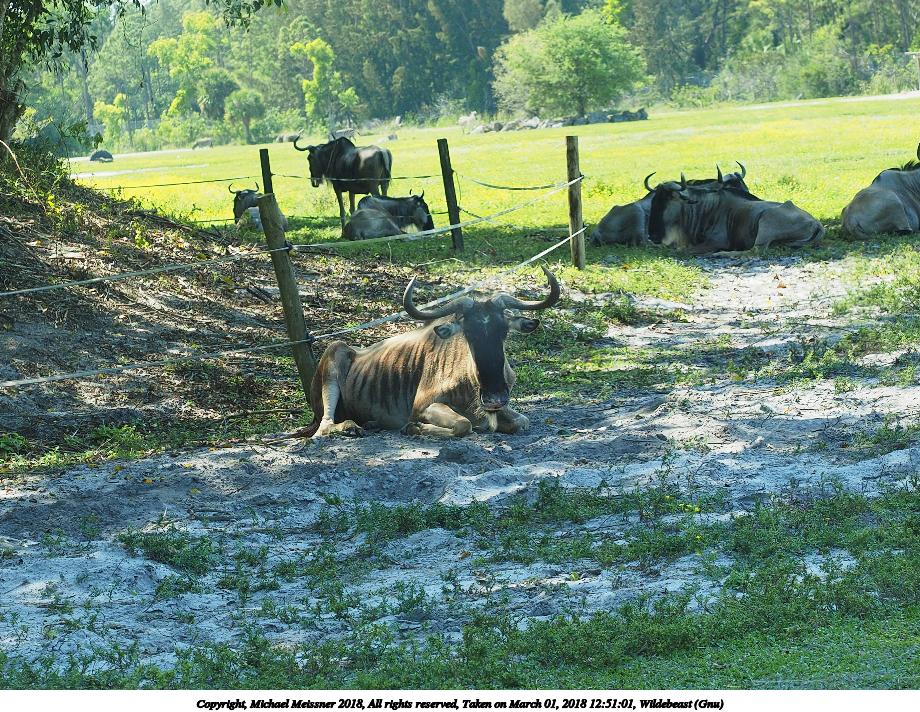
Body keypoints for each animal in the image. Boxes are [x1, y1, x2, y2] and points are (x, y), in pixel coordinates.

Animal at [306, 267, 560, 438]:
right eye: (468, 333)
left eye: (504, 331)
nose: (494, 397)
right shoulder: (424, 406)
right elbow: (464, 425)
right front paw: (413, 427)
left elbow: (522, 421)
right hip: (333, 359)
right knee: (324, 426)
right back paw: (351, 427)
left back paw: (370, 424)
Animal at [647, 173, 823, 255]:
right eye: (654, 201)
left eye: (668, 200)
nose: (652, 236)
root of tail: (816, 223)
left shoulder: (715, 242)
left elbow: (680, 251)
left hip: (766, 222)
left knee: (753, 252)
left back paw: (720, 254)